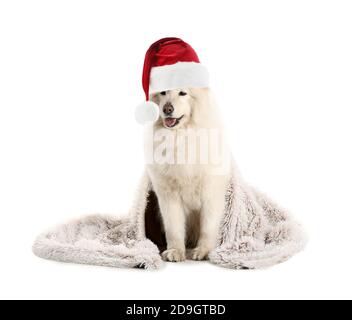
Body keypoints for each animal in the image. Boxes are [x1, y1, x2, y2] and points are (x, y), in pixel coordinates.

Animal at [144, 86, 230, 262]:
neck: (180, 137)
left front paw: (203, 251)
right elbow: (174, 227)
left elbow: (208, 227)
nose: (167, 109)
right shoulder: (168, 196)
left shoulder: (211, 193)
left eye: (183, 93)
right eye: (163, 92)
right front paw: (175, 251)